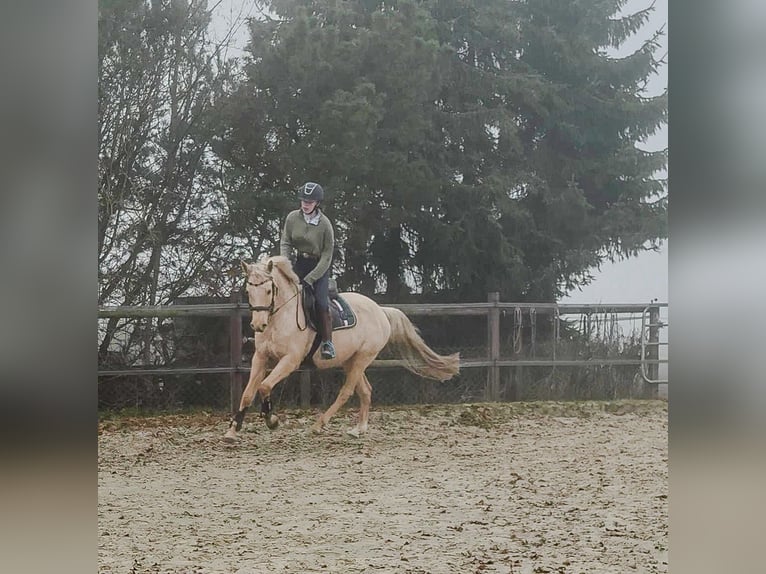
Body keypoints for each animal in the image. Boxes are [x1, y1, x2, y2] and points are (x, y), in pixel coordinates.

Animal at [223, 255, 460, 441]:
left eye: (268, 290)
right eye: (248, 290)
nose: (258, 325)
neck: (281, 317)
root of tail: (381, 310)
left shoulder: (290, 360)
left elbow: (264, 386)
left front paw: (271, 419)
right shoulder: (261, 357)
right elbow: (248, 393)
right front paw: (233, 431)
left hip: (363, 358)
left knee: (346, 392)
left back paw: (319, 425)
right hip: (350, 361)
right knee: (365, 390)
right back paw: (358, 429)